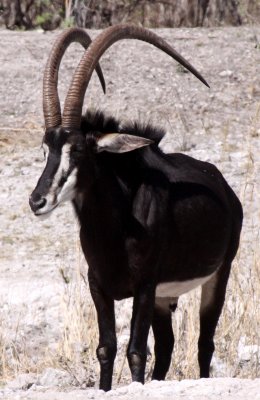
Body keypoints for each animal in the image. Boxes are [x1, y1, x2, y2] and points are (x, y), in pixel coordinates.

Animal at [29, 24, 243, 390]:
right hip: (163, 298)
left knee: (204, 343)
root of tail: (225, 189)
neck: (114, 228)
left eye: (78, 151)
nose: (37, 200)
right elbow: (106, 348)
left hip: (217, 276)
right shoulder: (99, 287)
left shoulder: (144, 287)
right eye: (47, 151)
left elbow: (136, 351)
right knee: (168, 345)